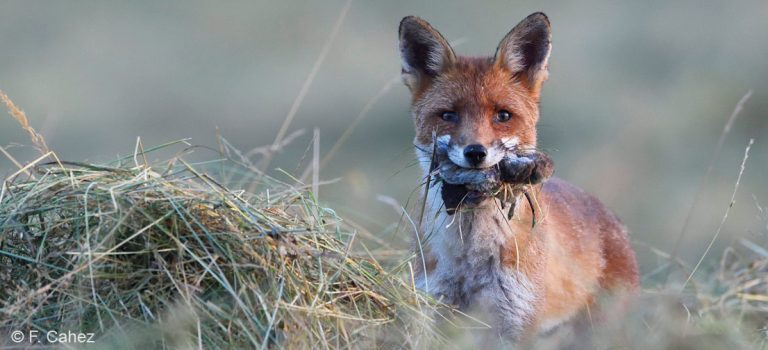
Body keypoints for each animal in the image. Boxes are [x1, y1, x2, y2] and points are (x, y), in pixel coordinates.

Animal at [400, 12, 640, 340]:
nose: (476, 152)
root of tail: (611, 217)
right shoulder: (433, 308)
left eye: (502, 115)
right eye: (448, 115)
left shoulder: (514, 322)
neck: (470, 257)